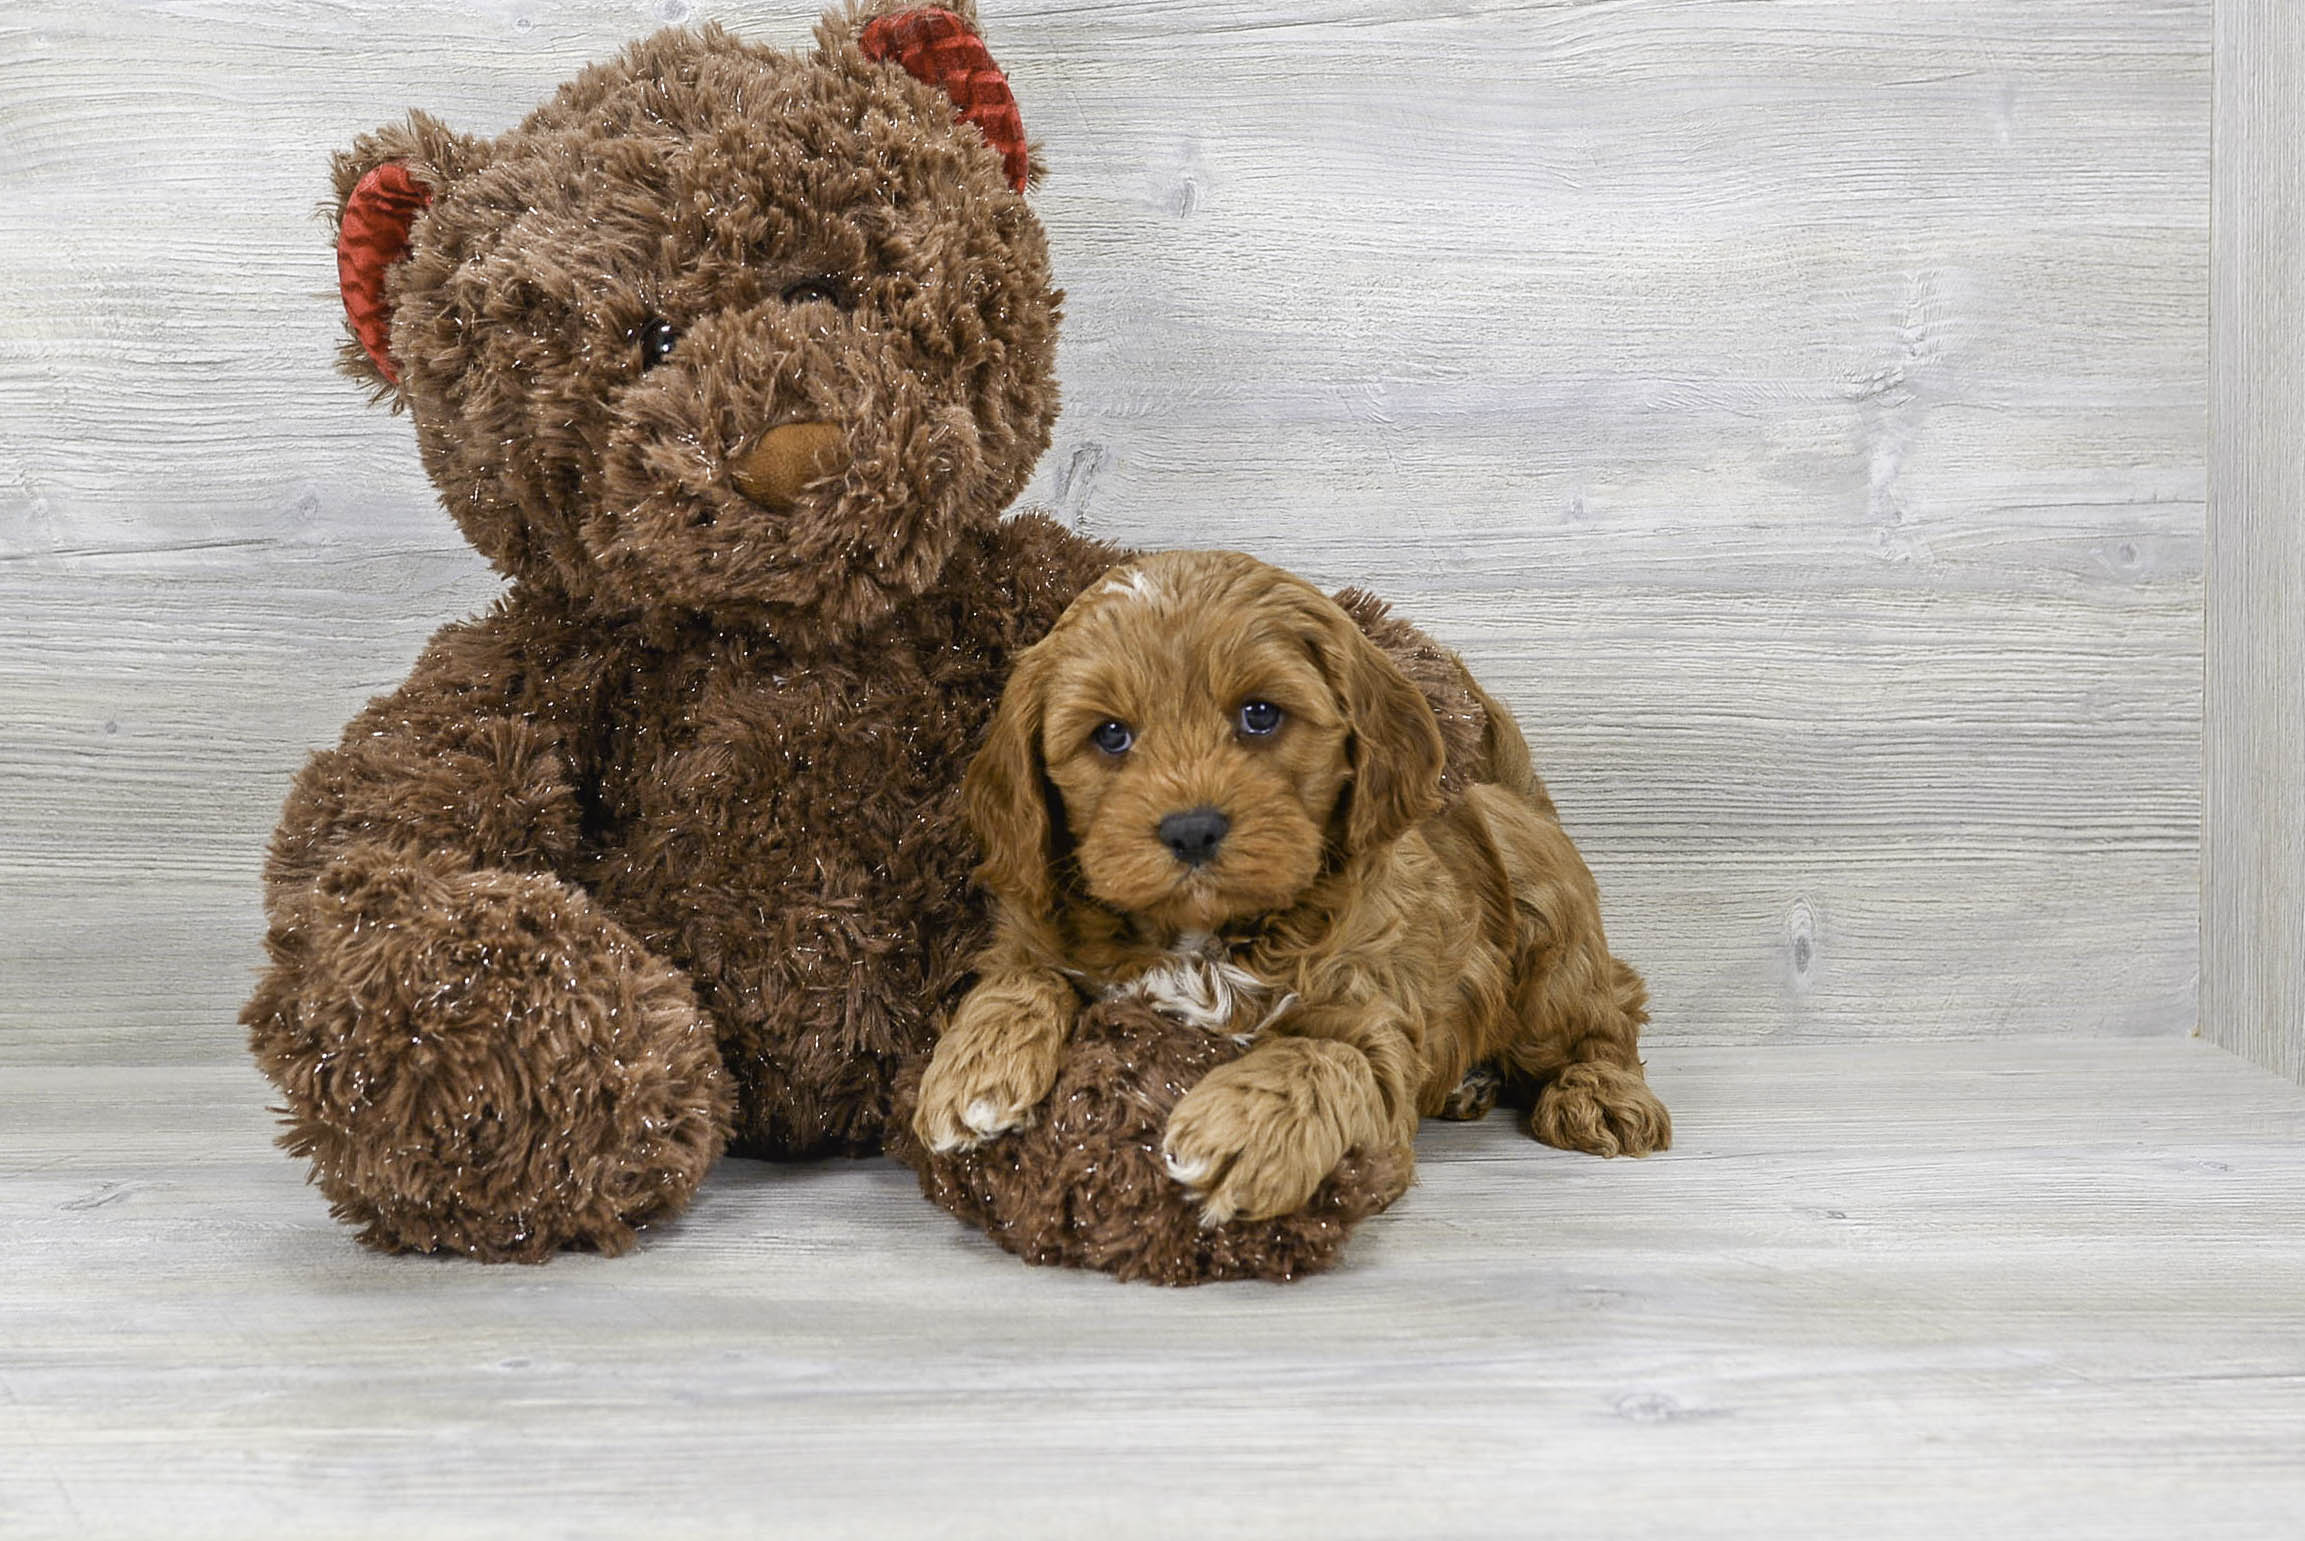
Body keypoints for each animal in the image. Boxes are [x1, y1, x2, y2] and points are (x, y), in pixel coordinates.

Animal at [908, 545, 1668, 1216]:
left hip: (1549, 957)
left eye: (1260, 714)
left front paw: (1238, 1129)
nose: (1191, 829)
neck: (1206, 938)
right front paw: (971, 1070)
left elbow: (1323, 1054)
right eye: (1111, 734)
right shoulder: (1035, 931)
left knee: (1608, 1016)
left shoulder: (1376, 1022)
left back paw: (1599, 1095)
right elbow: (1021, 976)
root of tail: (1509, 795)